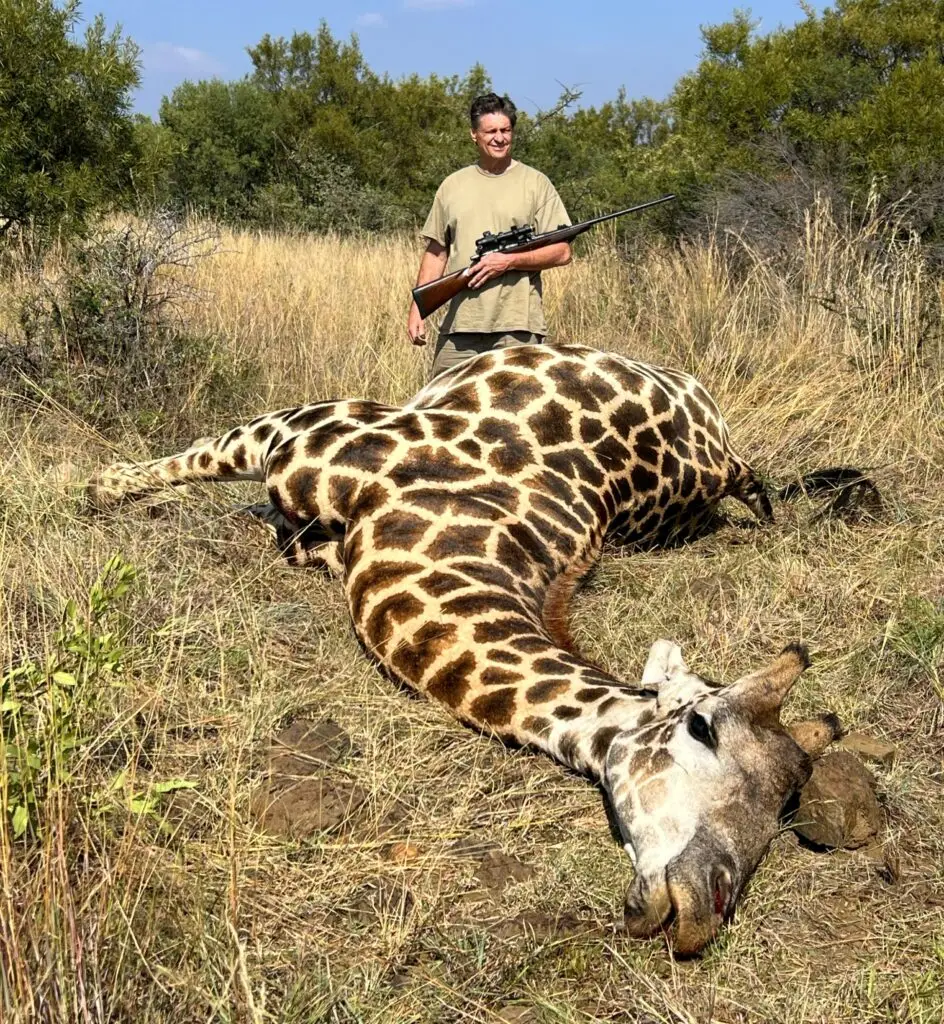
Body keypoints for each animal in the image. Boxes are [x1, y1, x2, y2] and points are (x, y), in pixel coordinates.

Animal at [88, 344, 841, 954]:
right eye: (702, 728)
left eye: (785, 806)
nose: (705, 909)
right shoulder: (308, 429)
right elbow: (202, 456)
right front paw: (93, 484)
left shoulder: (313, 478)